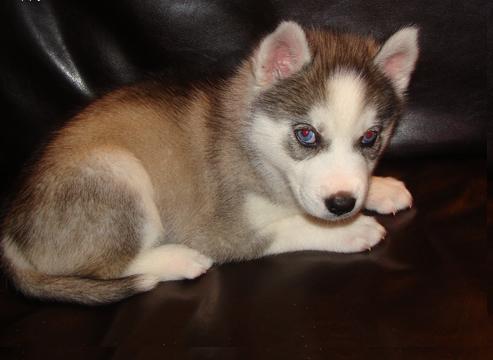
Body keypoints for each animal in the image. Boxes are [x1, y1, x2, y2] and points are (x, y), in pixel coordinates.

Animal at [0, 21, 418, 304]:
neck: (252, 148)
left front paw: (381, 189)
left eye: (370, 138)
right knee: (107, 266)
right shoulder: (223, 231)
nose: (342, 204)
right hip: (117, 170)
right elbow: (291, 226)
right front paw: (351, 230)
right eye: (306, 135)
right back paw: (178, 260)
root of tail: (10, 234)